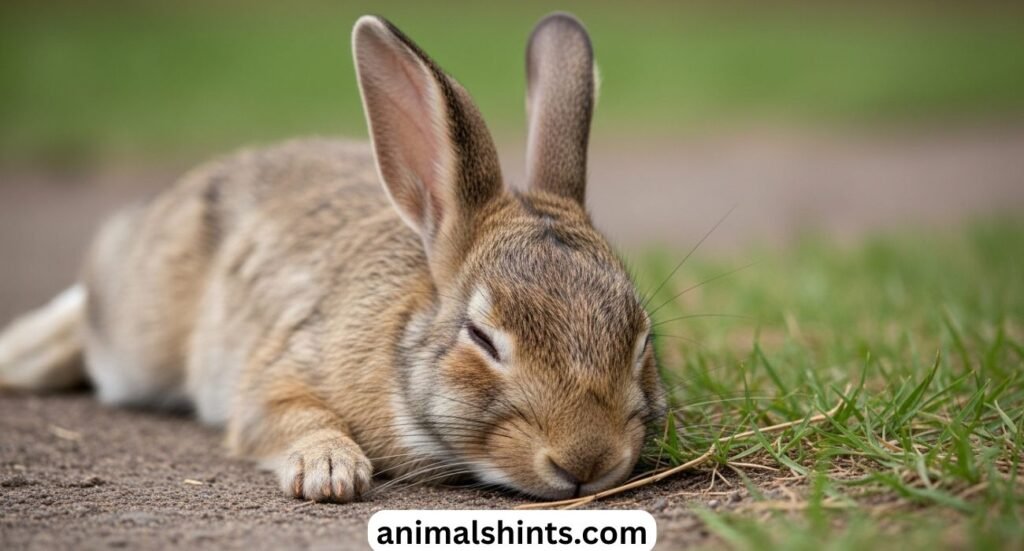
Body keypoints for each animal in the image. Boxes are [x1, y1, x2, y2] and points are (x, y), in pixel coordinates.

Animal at [0, 12, 666, 502]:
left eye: (642, 341)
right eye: (482, 338)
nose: (587, 459)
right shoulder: (278, 370)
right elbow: (284, 414)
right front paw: (329, 472)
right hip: (137, 342)